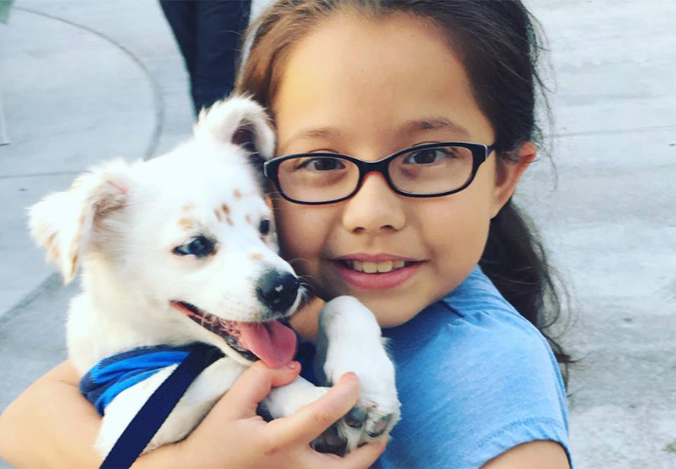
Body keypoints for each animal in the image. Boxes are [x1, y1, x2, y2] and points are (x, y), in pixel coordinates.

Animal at [29, 97, 398, 458]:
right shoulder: (129, 410)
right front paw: (312, 403)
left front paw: (368, 382)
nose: (284, 289)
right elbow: (240, 369)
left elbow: (343, 303)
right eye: (194, 245)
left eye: (265, 225)